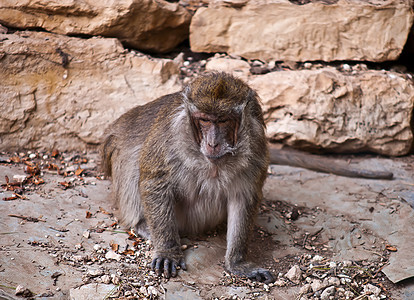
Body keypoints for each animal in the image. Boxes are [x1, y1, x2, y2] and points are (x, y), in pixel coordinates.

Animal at [102, 72, 392, 282]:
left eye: (223, 121)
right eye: (204, 120)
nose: (213, 142)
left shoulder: (257, 147)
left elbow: (243, 198)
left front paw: (237, 263)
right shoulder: (167, 138)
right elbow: (155, 181)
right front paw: (167, 250)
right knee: (132, 156)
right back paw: (143, 225)